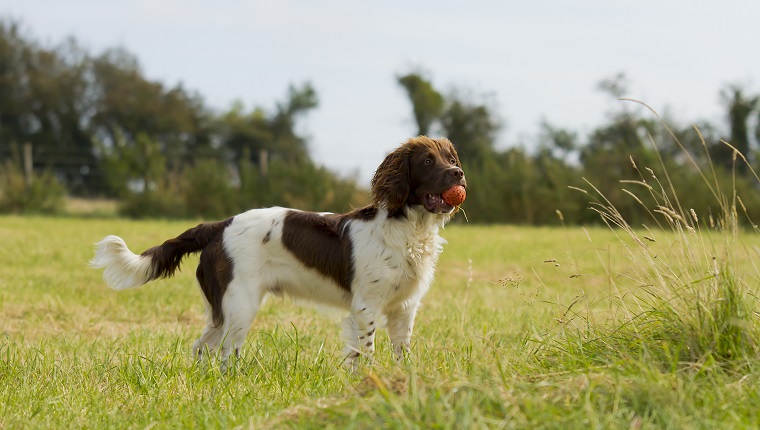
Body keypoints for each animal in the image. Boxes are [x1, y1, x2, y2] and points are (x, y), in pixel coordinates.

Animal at [92, 136, 466, 368]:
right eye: (427, 161)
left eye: (450, 159)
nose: (458, 173)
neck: (408, 227)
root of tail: (219, 225)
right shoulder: (366, 306)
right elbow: (365, 353)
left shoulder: (404, 308)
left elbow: (403, 354)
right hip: (240, 305)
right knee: (226, 352)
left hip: (223, 309)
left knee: (202, 348)